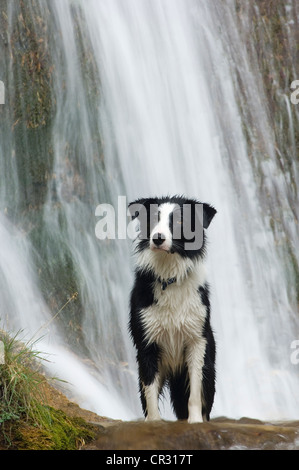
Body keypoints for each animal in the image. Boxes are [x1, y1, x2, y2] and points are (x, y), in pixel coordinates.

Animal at [127, 195, 217, 422]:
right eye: (152, 219)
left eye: (178, 221)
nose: (158, 239)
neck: (169, 277)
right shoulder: (147, 343)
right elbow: (150, 392)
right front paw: (154, 423)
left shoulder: (197, 341)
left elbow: (194, 391)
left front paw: (195, 422)